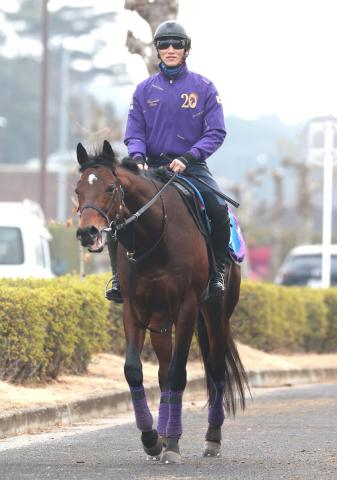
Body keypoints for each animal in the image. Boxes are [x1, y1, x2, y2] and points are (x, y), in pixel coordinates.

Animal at [74, 141, 247, 464]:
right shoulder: (134, 308)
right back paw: (166, 435)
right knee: (164, 373)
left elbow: (180, 373)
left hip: (215, 314)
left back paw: (211, 438)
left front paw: (174, 445)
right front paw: (152, 439)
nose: (87, 232)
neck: (156, 233)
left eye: (110, 188)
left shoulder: (187, 307)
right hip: (160, 319)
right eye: (78, 189)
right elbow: (134, 371)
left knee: (215, 370)